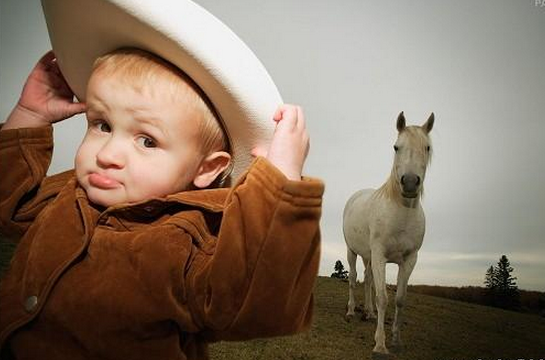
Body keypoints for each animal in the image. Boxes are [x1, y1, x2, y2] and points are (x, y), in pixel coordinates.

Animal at [344, 112, 434, 358]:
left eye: (427, 147)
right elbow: (383, 297)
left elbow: (400, 299)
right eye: (396, 147)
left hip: (368, 256)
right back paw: (351, 311)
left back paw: (369, 313)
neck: (401, 213)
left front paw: (396, 340)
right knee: (354, 278)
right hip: (353, 252)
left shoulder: (409, 259)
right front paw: (380, 345)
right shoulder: (380, 255)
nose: (410, 183)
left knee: (368, 280)